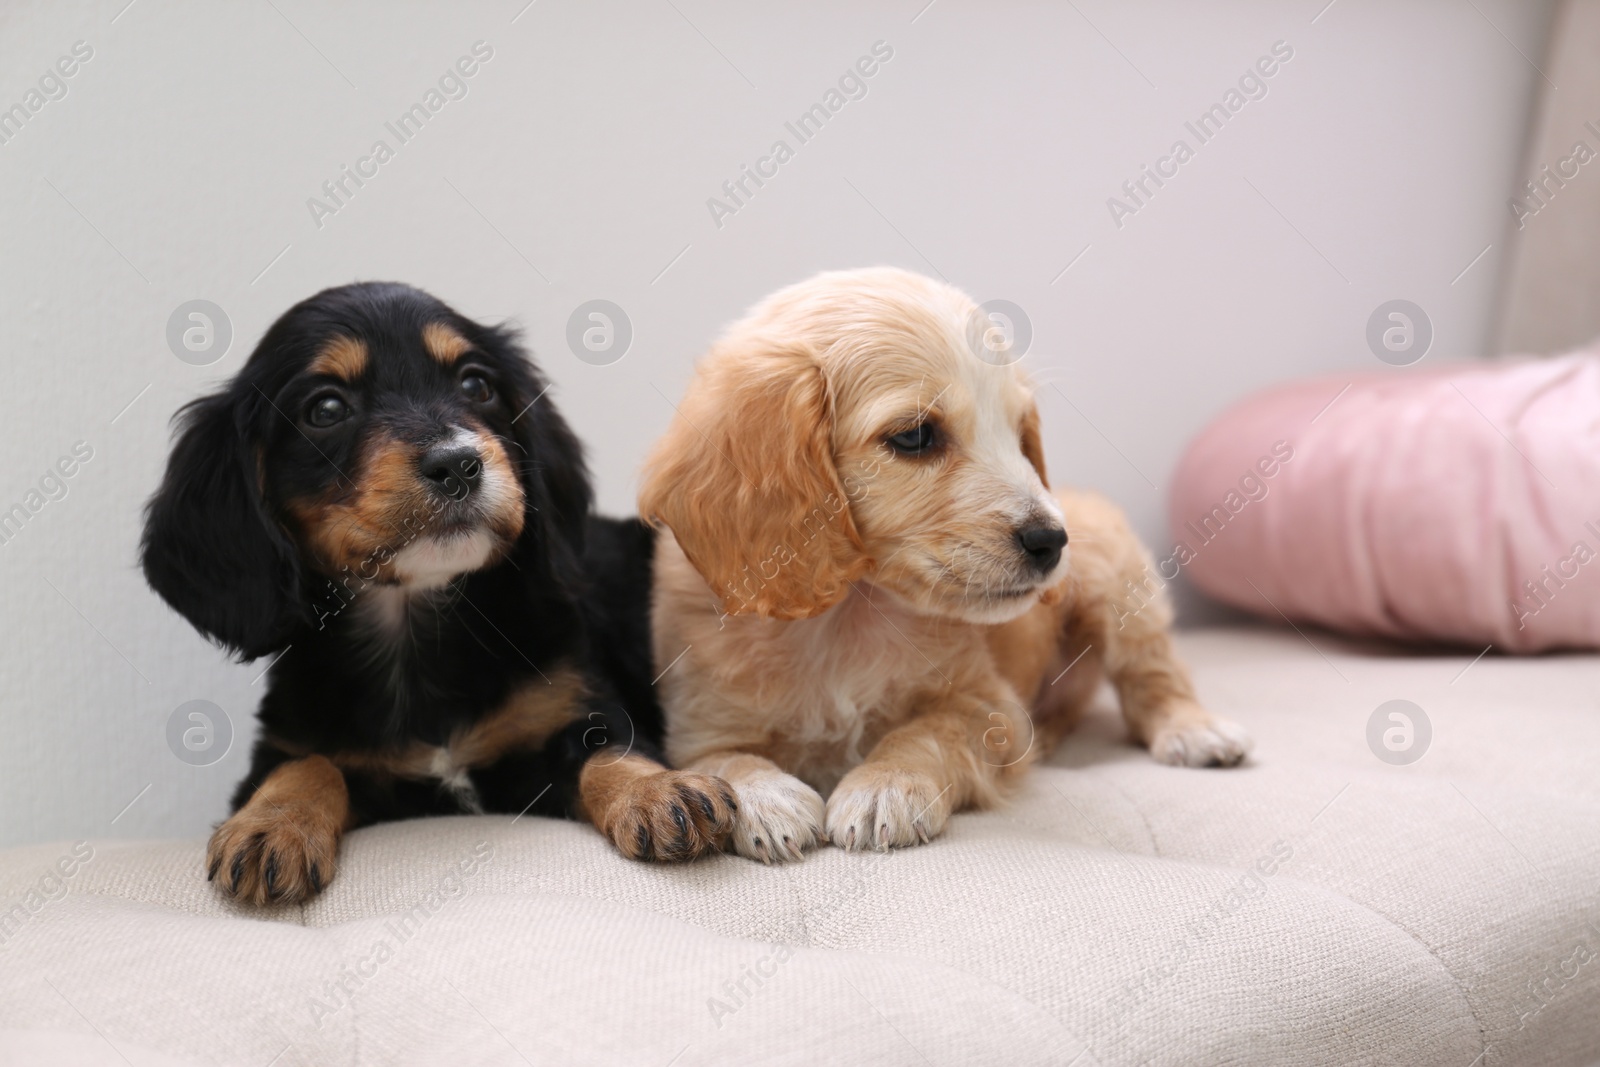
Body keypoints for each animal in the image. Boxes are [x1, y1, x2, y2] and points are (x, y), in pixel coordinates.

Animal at [144, 281, 732, 902]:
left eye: (476, 385)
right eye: (325, 409)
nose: (458, 465)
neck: (414, 623)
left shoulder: (575, 710)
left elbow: (609, 750)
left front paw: (662, 793)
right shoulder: (288, 744)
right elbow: (306, 765)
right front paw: (271, 826)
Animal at [636, 271, 1248, 863]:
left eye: (1021, 437)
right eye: (914, 436)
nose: (1052, 540)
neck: (846, 616)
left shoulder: (989, 709)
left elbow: (926, 732)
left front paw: (885, 785)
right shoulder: (698, 723)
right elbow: (724, 760)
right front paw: (764, 796)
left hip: (1119, 587)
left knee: (1152, 673)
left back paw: (1195, 731)